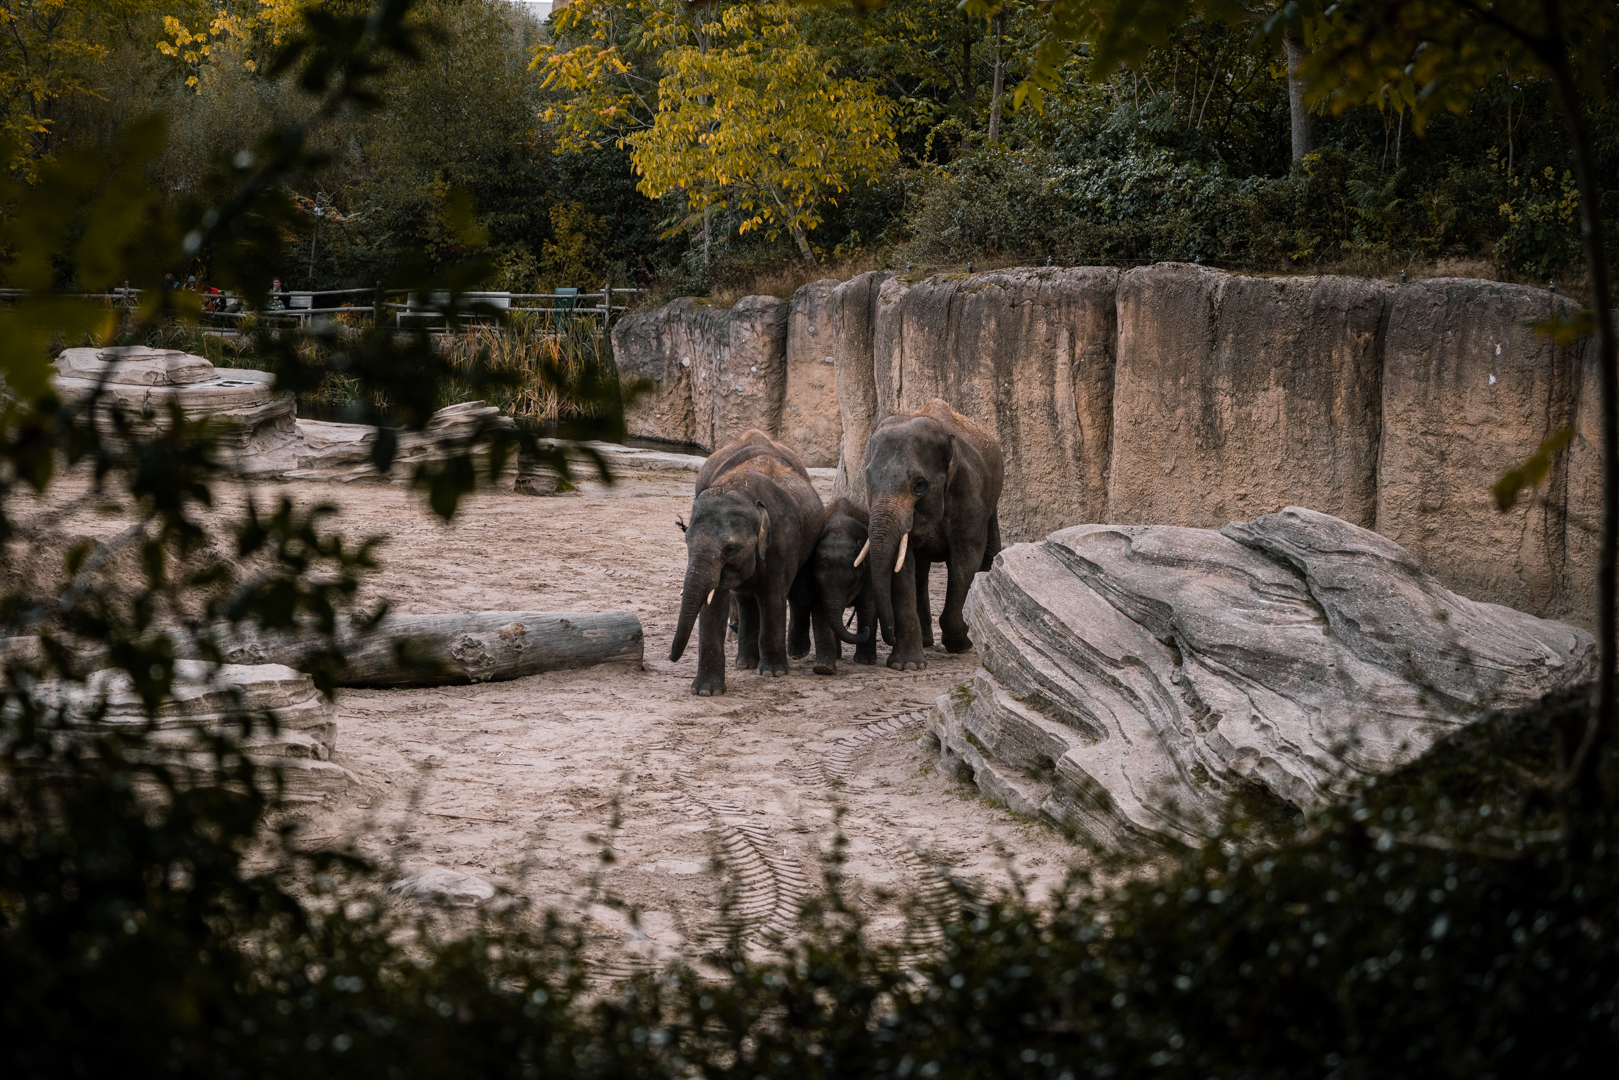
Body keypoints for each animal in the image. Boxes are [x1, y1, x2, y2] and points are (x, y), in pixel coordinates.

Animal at [669, 430, 826, 696]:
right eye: (687, 541)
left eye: (730, 549)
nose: (670, 658)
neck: (743, 491)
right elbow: (713, 603)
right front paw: (706, 692)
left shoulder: (782, 538)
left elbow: (773, 595)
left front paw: (773, 673)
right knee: (746, 600)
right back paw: (745, 663)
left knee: (796, 591)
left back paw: (791, 655)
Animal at [807, 498, 877, 675]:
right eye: (818, 582)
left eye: (852, 582)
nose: (865, 630)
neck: (840, 531)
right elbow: (820, 609)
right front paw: (823, 668)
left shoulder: (869, 566)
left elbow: (867, 604)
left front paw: (865, 661)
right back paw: (837, 656)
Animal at [861, 398, 1004, 670]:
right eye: (868, 480)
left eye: (920, 485)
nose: (888, 635)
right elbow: (902, 566)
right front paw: (906, 666)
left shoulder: (969, 494)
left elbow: (966, 560)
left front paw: (960, 643)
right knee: (921, 571)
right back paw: (926, 642)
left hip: (993, 501)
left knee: (989, 553)